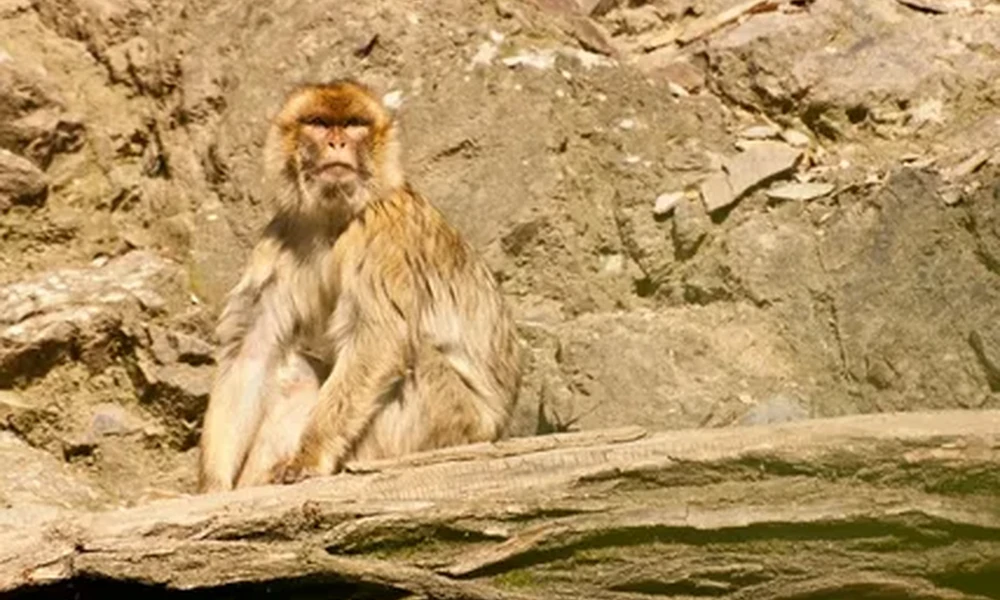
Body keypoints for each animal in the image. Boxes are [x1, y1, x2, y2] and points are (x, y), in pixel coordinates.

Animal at [197, 79, 523, 493]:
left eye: (354, 124)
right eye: (319, 123)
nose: (337, 142)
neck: (335, 217)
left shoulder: (383, 232)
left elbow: (378, 337)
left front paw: (309, 457)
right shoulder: (281, 236)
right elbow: (252, 349)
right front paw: (212, 487)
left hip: (451, 423)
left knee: (414, 355)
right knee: (293, 370)